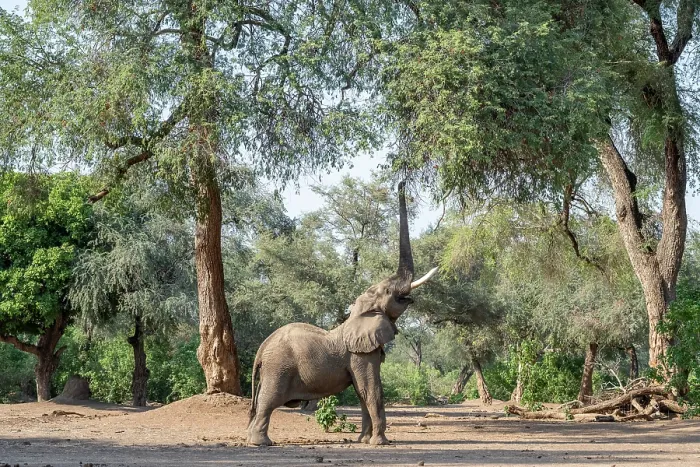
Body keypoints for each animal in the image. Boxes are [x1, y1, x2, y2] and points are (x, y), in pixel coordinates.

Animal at [247, 181, 438, 447]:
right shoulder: (360, 354)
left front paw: (363, 440)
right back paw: (261, 443)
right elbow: (371, 389)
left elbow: (361, 391)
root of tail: (261, 349)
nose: (401, 183)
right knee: (268, 400)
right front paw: (380, 443)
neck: (357, 314)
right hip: (278, 367)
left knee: (261, 401)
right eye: (388, 291)